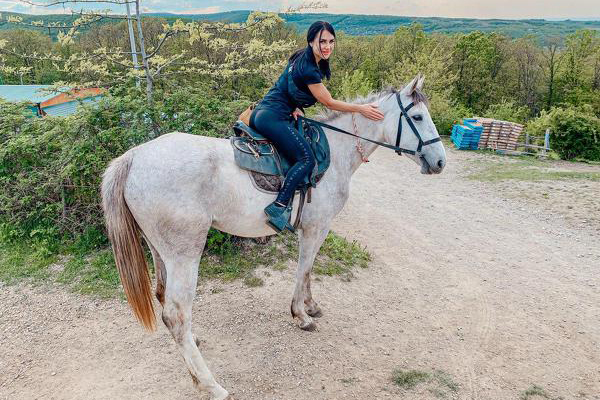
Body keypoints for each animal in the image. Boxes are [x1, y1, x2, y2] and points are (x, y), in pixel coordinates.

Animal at [99, 76, 446, 400]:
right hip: (185, 253)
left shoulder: (316, 229)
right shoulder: (316, 228)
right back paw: (212, 384)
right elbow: (304, 269)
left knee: (163, 299)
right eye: (417, 117)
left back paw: (195, 360)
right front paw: (301, 315)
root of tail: (133, 157)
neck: (335, 152)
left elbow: (309, 270)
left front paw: (311, 306)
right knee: (176, 313)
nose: (440, 162)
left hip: (159, 250)